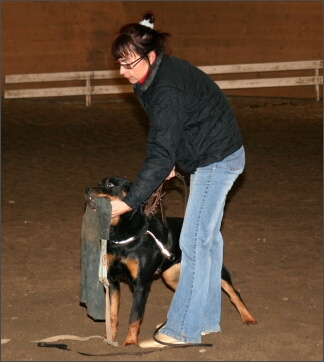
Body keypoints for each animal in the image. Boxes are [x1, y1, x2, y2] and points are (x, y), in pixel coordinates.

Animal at [85, 177, 256, 346]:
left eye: (110, 184)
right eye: (100, 183)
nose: (87, 189)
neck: (122, 234)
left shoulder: (141, 284)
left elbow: (134, 316)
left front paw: (131, 342)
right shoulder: (113, 281)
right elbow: (112, 313)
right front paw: (110, 336)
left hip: (217, 271)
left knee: (234, 293)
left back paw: (248, 318)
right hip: (171, 276)